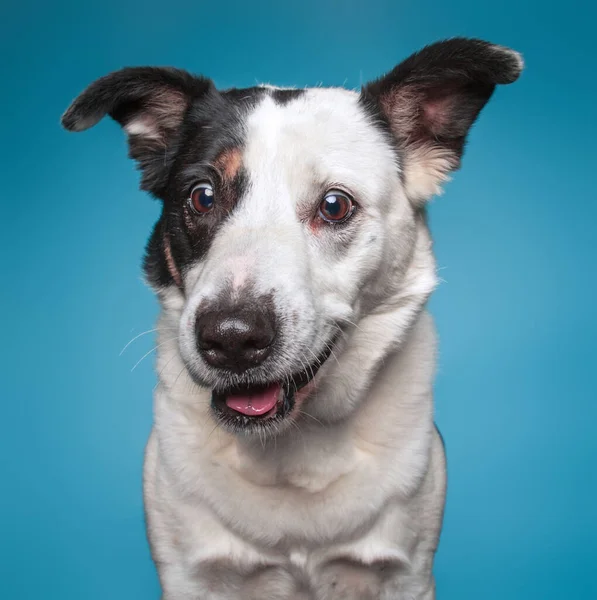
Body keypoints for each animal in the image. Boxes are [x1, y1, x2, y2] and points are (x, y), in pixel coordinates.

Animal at [61, 38, 520, 600]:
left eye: (334, 205)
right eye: (202, 196)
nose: (231, 338)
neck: (291, 445)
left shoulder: (405, 574)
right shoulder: (190, 576)